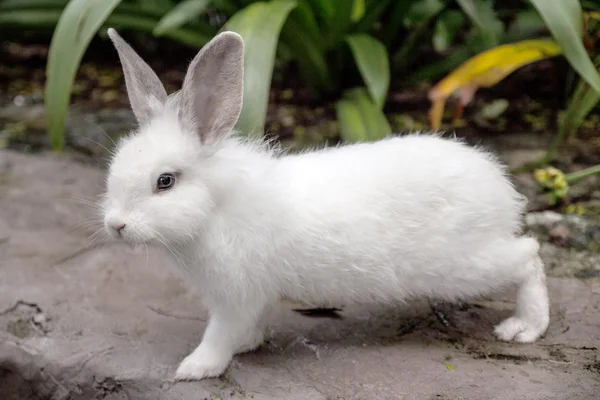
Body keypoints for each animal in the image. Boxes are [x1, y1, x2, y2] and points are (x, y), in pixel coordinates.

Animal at [102, 28, 548, 382]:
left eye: (165, 181)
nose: (115, 225)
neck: (215, 209)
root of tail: (500, 188)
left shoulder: (235, 294)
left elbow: (219, 335)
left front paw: (195, 369)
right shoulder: (254, 296)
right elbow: (248, 327)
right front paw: (247, 345)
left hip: (463, 264)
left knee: (529, 256)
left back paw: (523, 328)